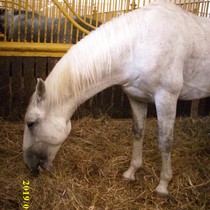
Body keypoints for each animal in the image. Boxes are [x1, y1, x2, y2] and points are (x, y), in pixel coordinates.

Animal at [22, 0, 210, 196]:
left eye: (30, 123)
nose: (29, 166)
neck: (139, 43)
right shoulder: (136, 97)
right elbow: (138, 132)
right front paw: (131, 172)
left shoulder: (166, 97)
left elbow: (165, 141)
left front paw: (163, 185)